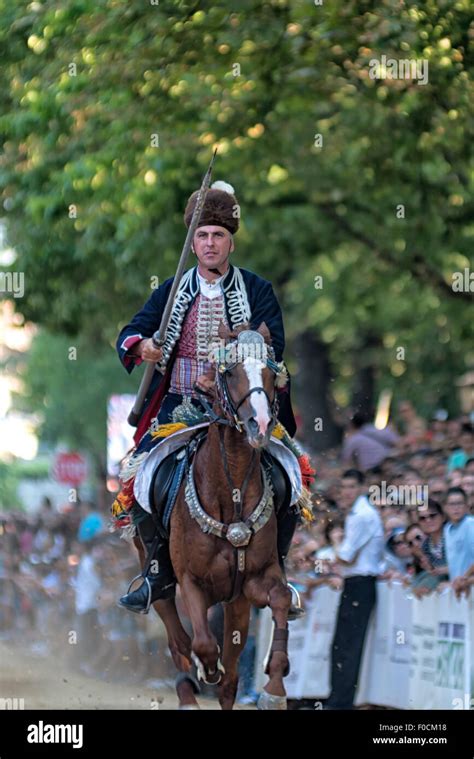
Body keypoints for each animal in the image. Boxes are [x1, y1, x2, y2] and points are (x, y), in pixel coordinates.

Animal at [135, 324, 294, 708]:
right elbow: (203, 643)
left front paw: (274, 686)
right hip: (158, 578)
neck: (230, 492)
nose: (260, 424)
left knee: (232, 676)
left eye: (272, 374)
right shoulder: (191, 581)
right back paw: (188, 688)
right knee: (177, 640)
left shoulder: (256, 580)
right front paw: (207, 667)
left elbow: (281, 598)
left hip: (236, 602)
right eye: (231, 372)